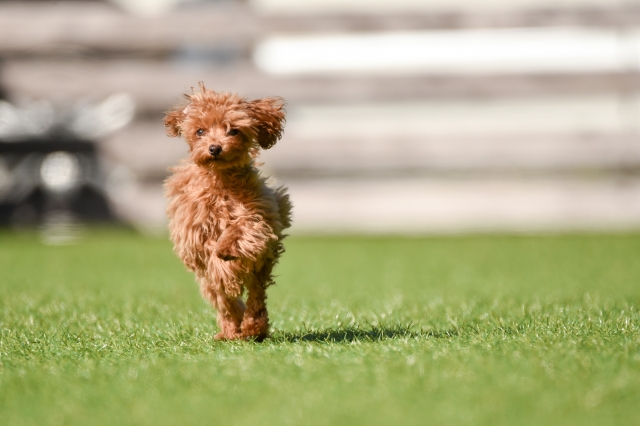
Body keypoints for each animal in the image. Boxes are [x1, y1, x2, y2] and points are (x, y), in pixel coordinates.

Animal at [165, 85, 296, 342]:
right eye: (200, 131)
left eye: (233, 130)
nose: (215, 148)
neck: (222, 181)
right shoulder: (195, 233)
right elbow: (213, 260)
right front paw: (225, 269)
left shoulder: (261, 215)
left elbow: (245, 229)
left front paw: (227, 249)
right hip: (208, 281)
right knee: (225, 301)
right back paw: (231, 330)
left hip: (262, 266)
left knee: (255, 294)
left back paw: (253, 327)